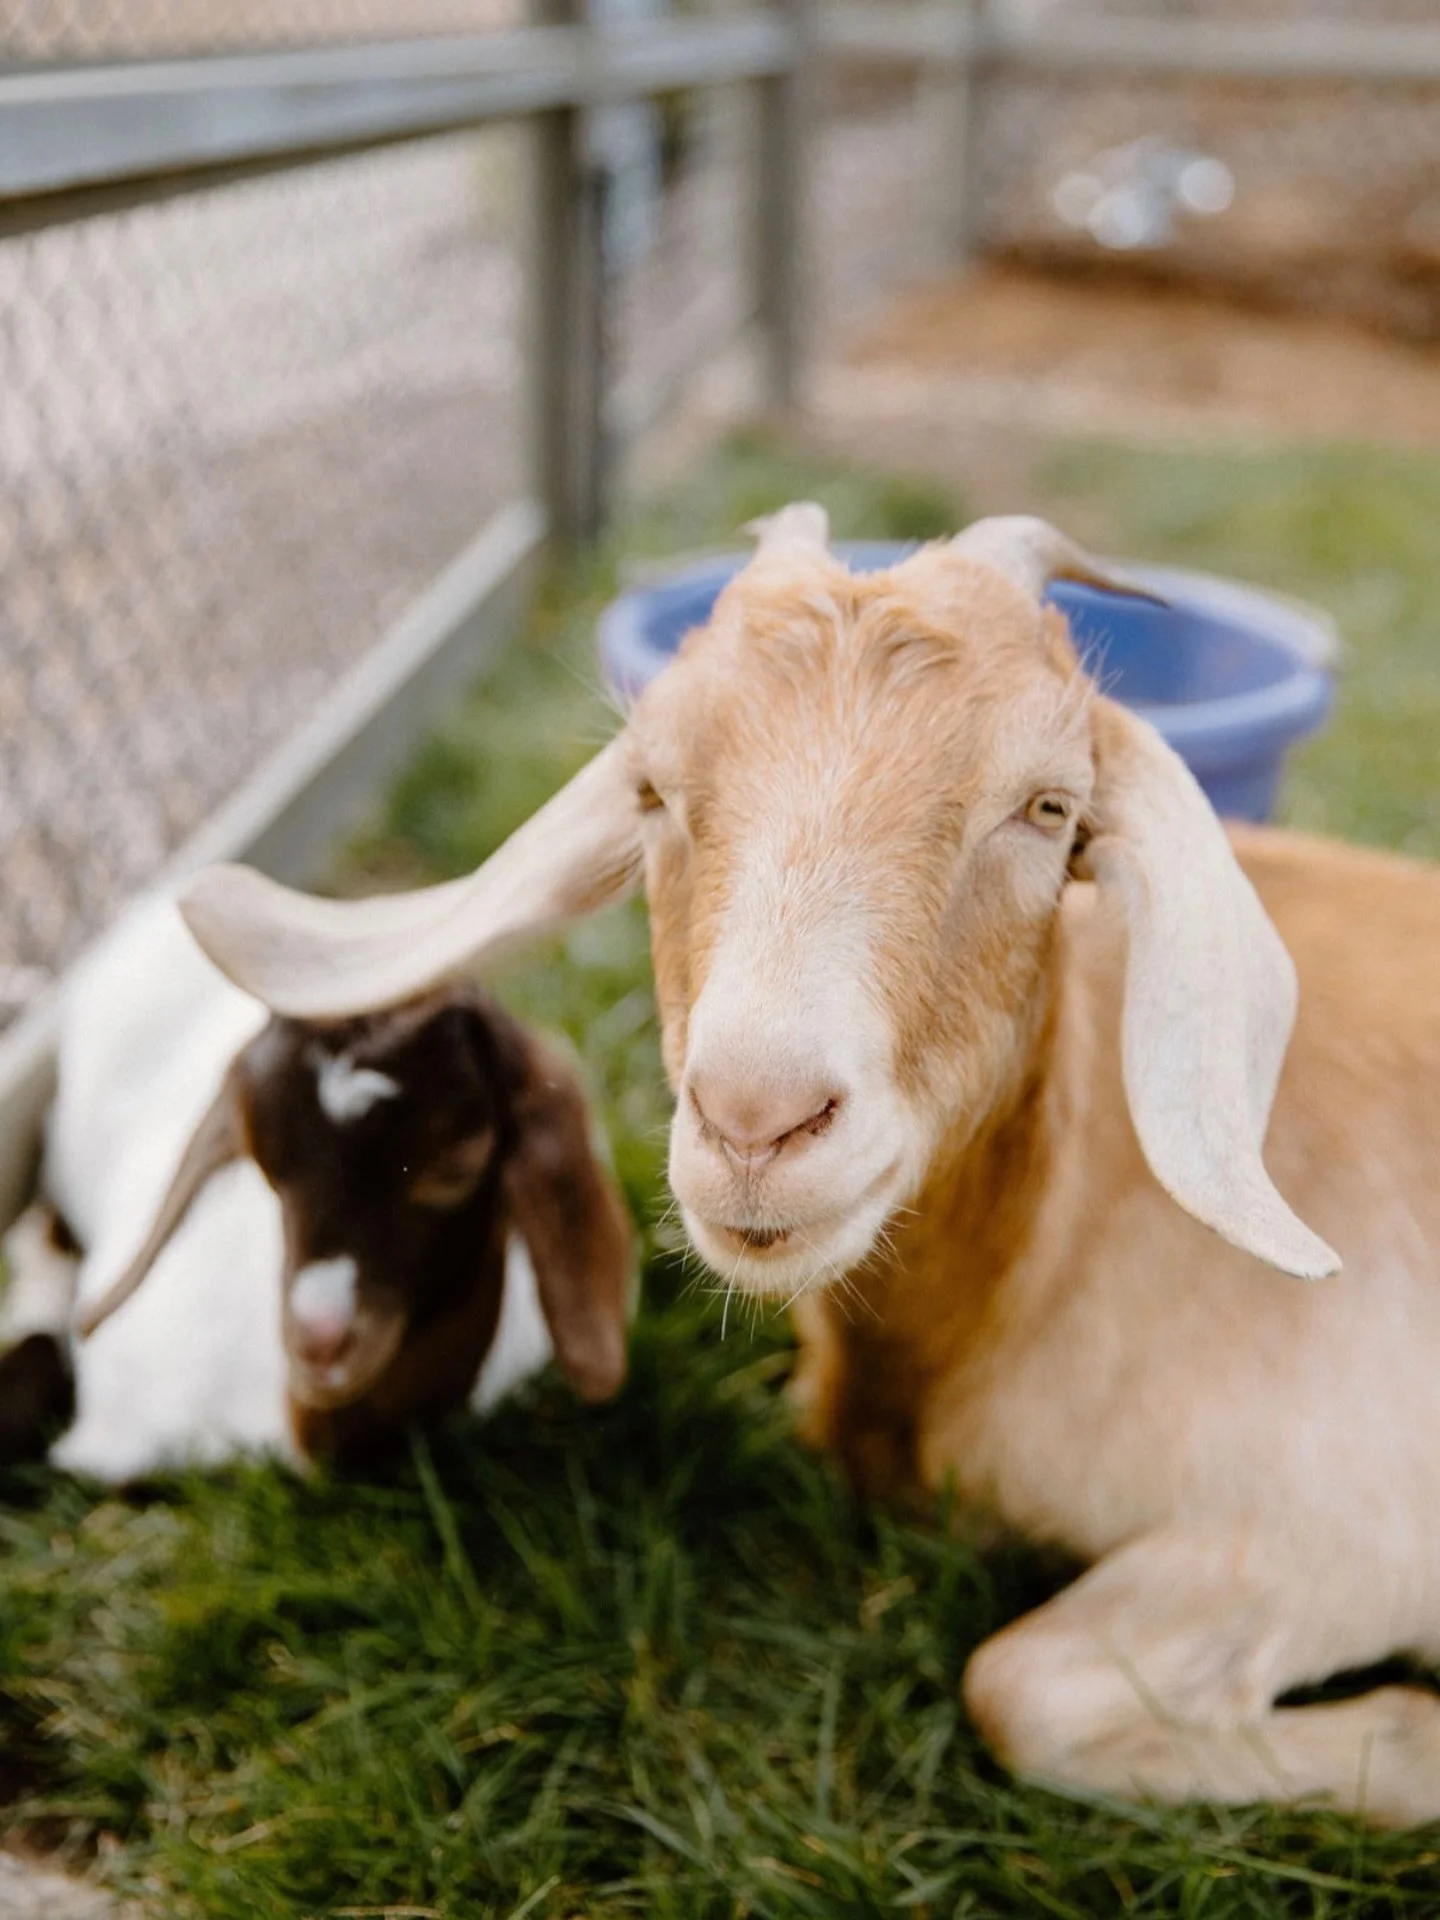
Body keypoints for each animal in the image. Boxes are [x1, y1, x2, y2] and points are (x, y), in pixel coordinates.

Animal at [170, 508, 1440, 1824]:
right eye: (651, 787)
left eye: (1048, 807)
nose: (755, 1119)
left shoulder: (1350, 1525)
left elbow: (1018, 1687)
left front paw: (1415, 1742)